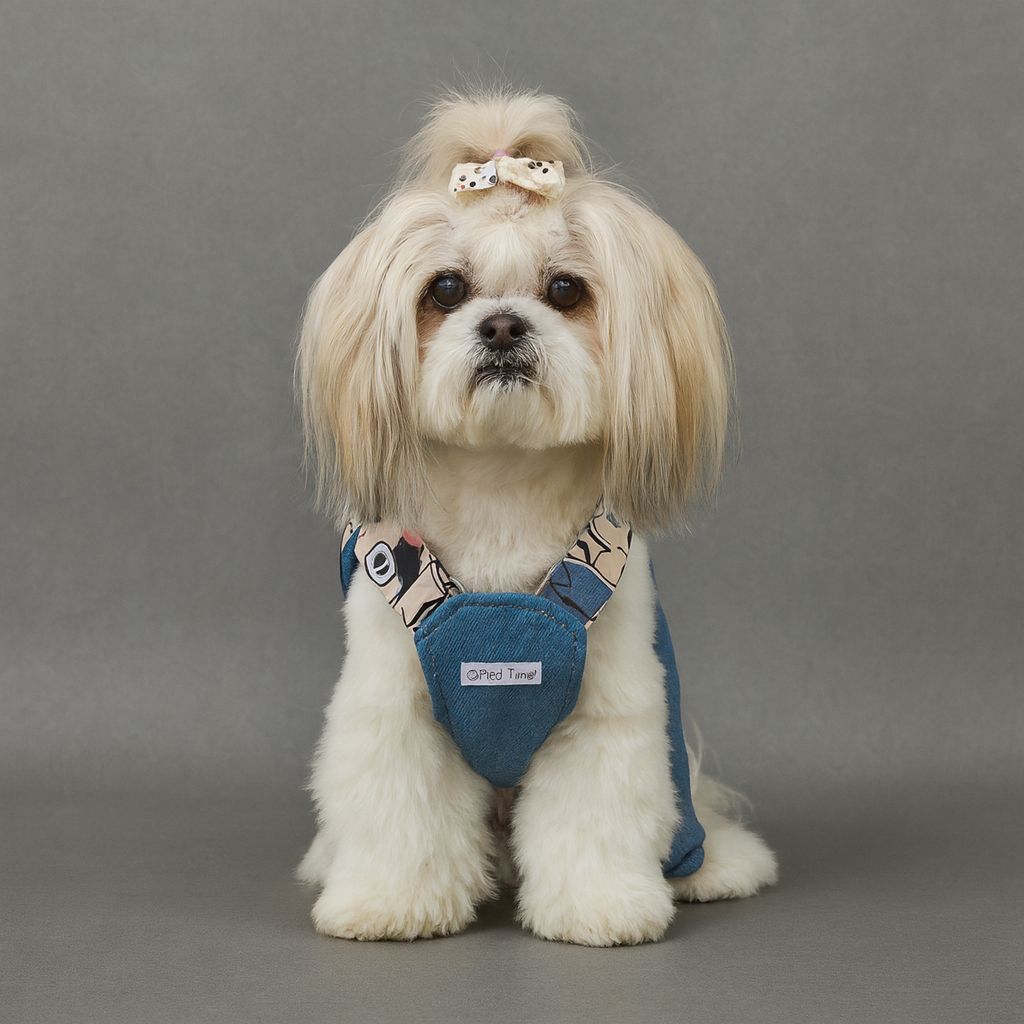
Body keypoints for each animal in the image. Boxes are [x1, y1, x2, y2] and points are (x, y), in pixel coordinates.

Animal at [295, 90, 777, 946]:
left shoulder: (607, 710)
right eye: (446, 289)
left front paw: (600, 906)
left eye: (564, 290)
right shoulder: (395, 706)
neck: (503, 487)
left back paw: (714, 866)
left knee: (684, 821)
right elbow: (401, 810)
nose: (501, 326)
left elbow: (593, 811)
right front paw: (389, 901)